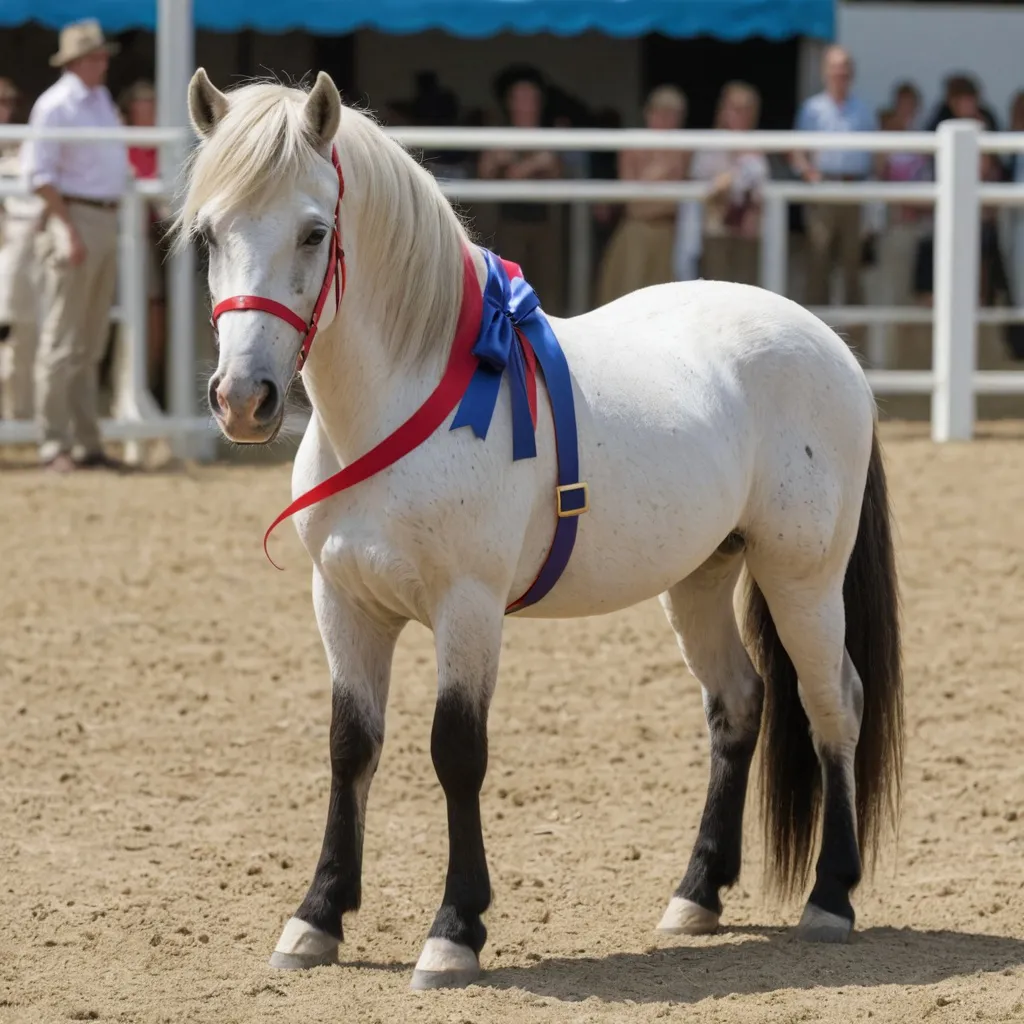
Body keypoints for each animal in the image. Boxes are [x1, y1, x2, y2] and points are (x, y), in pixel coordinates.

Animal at [176, 68, 903, 991]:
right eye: (209, 233)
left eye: (314, 233)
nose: (245, 399)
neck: (402, 405)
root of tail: (828, 343)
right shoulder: (343, 603)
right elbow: (351, 746)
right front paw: (316, 919)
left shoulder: (468, 608)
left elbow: (456, 750)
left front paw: (454, 932)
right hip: (700, 579)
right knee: (739, 705)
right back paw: (696, 895)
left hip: (802, 577)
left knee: (830, 702)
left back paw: (831, 898)